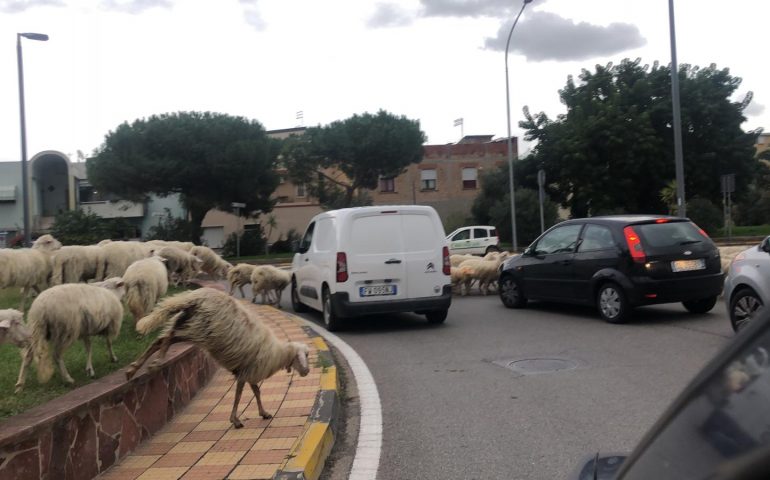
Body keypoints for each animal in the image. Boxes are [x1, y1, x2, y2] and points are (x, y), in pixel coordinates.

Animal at [126, 286, 308, 430]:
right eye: (303, 356)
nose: (306, 372)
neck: (279, 353)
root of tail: (197, 296)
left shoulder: (249, 373)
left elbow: (256, 392)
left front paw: (263, 413)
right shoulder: (245, 373)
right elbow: (239, 396)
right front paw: (235, 420)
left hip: (189, 321)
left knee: (160, 340)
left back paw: (134, 369)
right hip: (200, 328)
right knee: (168, 338)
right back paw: (157, 362)